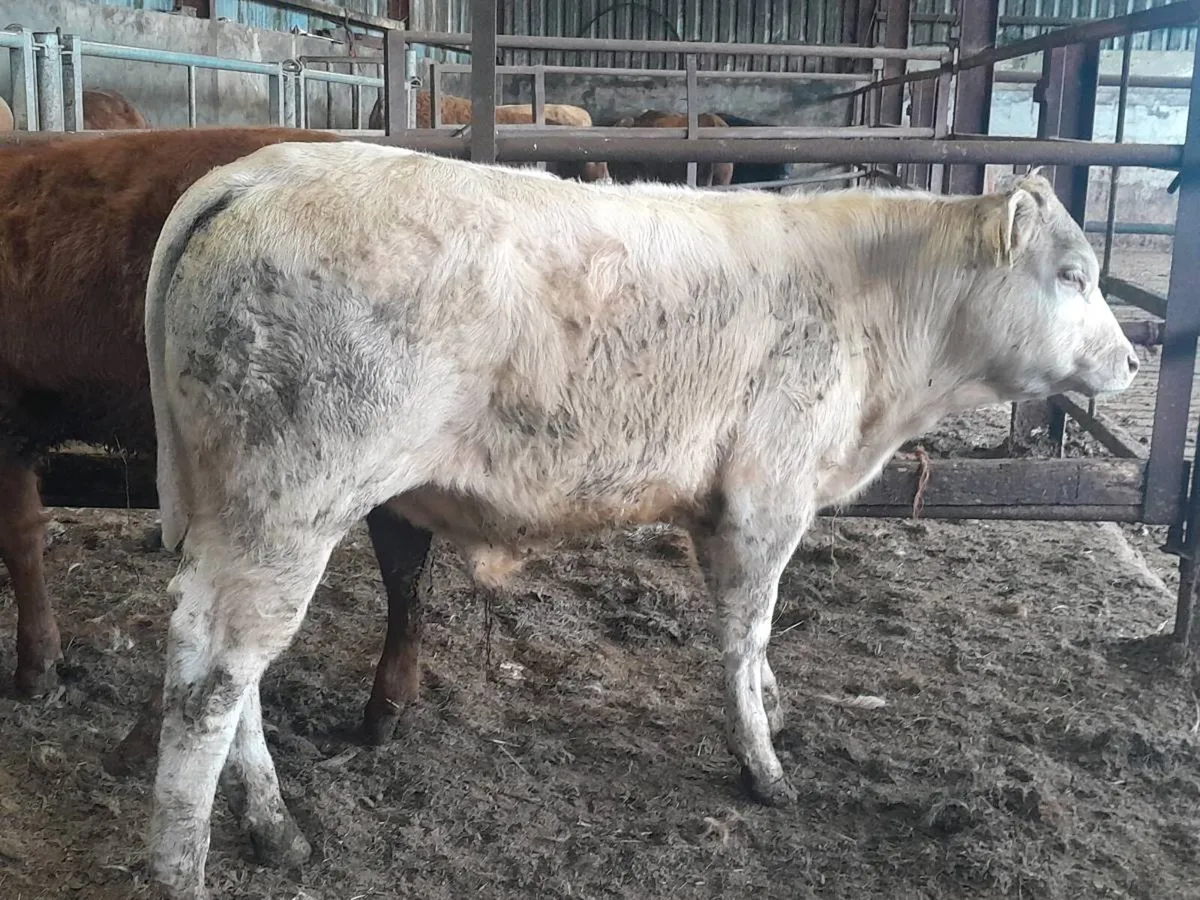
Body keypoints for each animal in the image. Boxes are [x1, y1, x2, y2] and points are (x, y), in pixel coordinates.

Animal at [139, 141, 1138, 897]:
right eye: (1074, 274)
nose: (1131, 360)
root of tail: (262, 170)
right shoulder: (768, 495)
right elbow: (746, 629)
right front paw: (763, 766)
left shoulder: (723, 504)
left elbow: (751, 635)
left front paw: (774, 706)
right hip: (294, 498)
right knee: (212, 681)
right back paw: (184, 866)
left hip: (237, 509)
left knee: (219, 654)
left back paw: (274, 827)